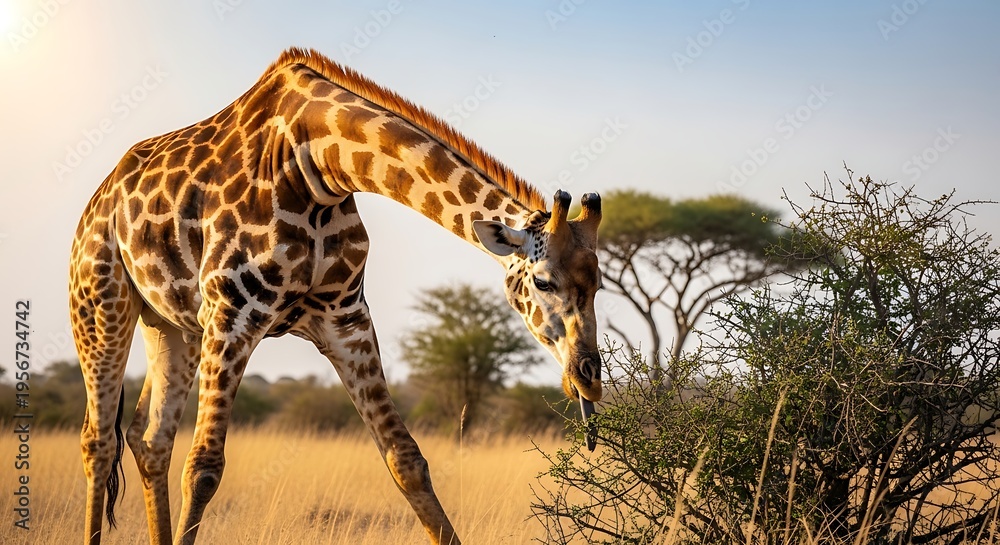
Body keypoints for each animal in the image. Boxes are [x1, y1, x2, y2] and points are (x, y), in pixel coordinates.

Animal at [70, 47, 604, 545]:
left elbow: (406, 459)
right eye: (543, 282)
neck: (317, 164)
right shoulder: (233, 314)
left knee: (148, 439)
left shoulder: (346, 320)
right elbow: (203, 467)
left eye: (599, 284)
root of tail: (98, 199)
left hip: (171, 325)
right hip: (101, 307)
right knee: (98, 440)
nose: (590, 379)